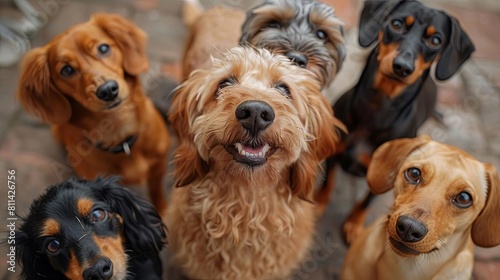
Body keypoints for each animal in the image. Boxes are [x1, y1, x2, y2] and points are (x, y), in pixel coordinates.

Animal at [316, 0, 476, 244]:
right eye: (397, 24)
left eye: (435, 40)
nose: (403, 66)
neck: (376, 109)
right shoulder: (334, 152)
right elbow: (328, 183)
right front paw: (318, 206)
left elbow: (367, 200)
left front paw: (354, 225)